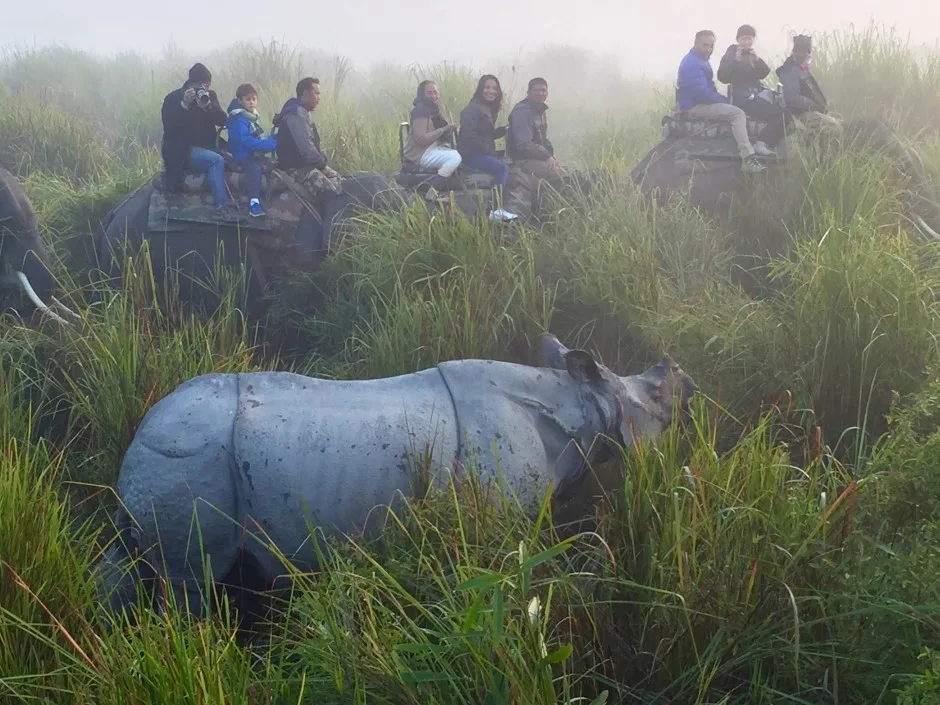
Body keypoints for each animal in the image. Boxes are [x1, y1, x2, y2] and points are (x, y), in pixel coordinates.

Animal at [94, 333, 697, 618]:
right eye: (657, 394)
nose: (687, 379)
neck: (582, 405)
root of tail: (138, 438)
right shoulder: (492, 518)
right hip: (189, 459)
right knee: (189, 582)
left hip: (174, 459)